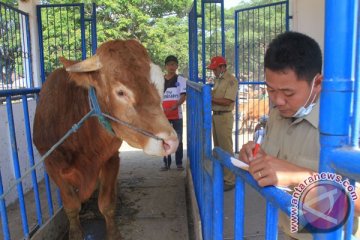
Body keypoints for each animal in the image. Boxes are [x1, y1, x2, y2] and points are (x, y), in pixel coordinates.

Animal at [33, 39, 179, 240]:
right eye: (120, 92)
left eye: (160, 84)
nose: (170, 142)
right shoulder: (52, 165)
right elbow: (71, 205)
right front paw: (76, 233)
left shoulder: (111, 158)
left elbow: (107, 204)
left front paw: (114, 233)